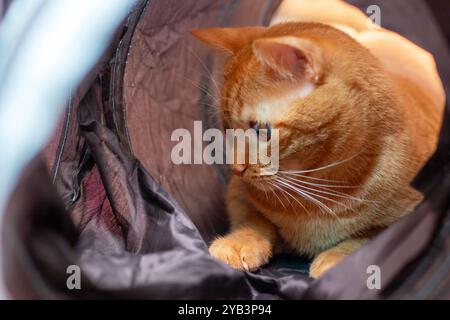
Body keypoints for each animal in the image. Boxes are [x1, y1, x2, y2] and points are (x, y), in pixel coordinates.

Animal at [192, 0, 444, 278]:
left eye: (260, 129)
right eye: (227, 128)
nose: (236, 169)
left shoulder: (413, 211)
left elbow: (370, 236)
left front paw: (337, 259)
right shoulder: (238, 193)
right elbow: (254, 221)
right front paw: (239, 242)